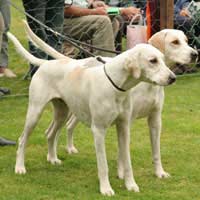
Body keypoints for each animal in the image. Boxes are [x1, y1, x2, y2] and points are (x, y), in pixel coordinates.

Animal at [7, 27, 175, 195]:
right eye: (153, 60)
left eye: (163, 58)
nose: (173, 78)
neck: (115, 85)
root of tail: (46, 62)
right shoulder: (99, 130)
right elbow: (103, 165)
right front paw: (106, 189)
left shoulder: (124, 127)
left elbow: (127, 160)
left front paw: (130, 185)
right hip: (35, 113)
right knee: (22, 140)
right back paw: (20, 167)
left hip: (62, 113)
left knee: (50, 134)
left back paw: (52, 158)